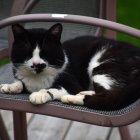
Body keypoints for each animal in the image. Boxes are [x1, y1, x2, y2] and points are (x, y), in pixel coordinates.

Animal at [0, 23, 140, 110]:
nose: (36, 64)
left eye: (45, 53)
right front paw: (9, 87)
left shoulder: (72, 83)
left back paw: (72, 98)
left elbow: (52, 88)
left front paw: (39, 94)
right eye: (28, 52)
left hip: (103, 66)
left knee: (108, 95)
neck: (36, 79)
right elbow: (20, 83)